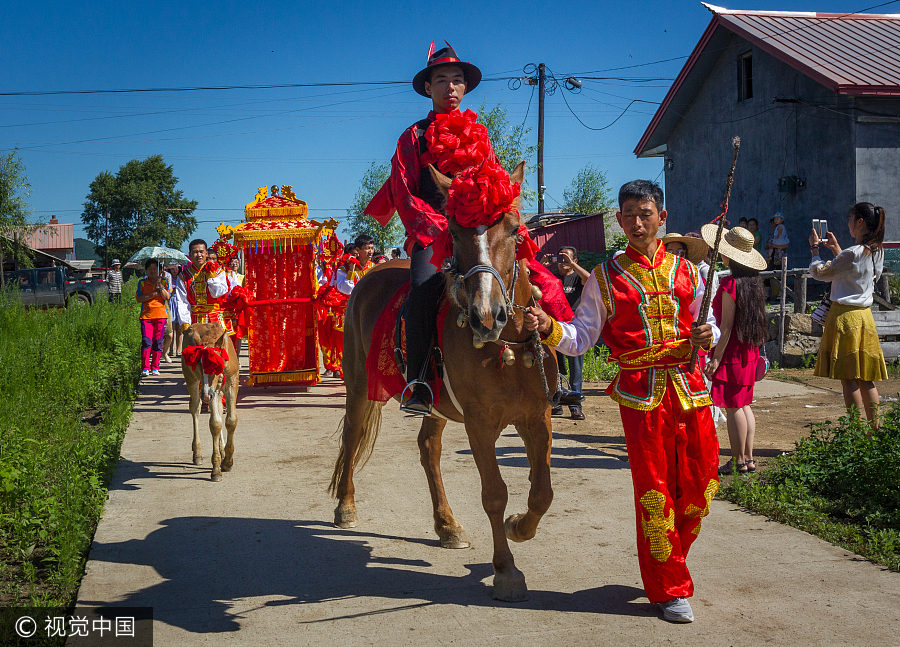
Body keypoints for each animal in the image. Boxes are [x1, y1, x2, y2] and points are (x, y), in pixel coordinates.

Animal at [328, 163, 556, 604]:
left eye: (515, 230)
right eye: (453, 230)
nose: (488, 315)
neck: (507, 345)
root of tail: (368, 273)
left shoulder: (537, 418)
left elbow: (542, 492)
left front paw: (520, 526)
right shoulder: (480, 424)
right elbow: (494, 493)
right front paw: (505, 571)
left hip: (434, 405)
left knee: (428, 449)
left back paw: (447, 525)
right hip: (360, 386)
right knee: (352, 435)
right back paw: (345, 508)